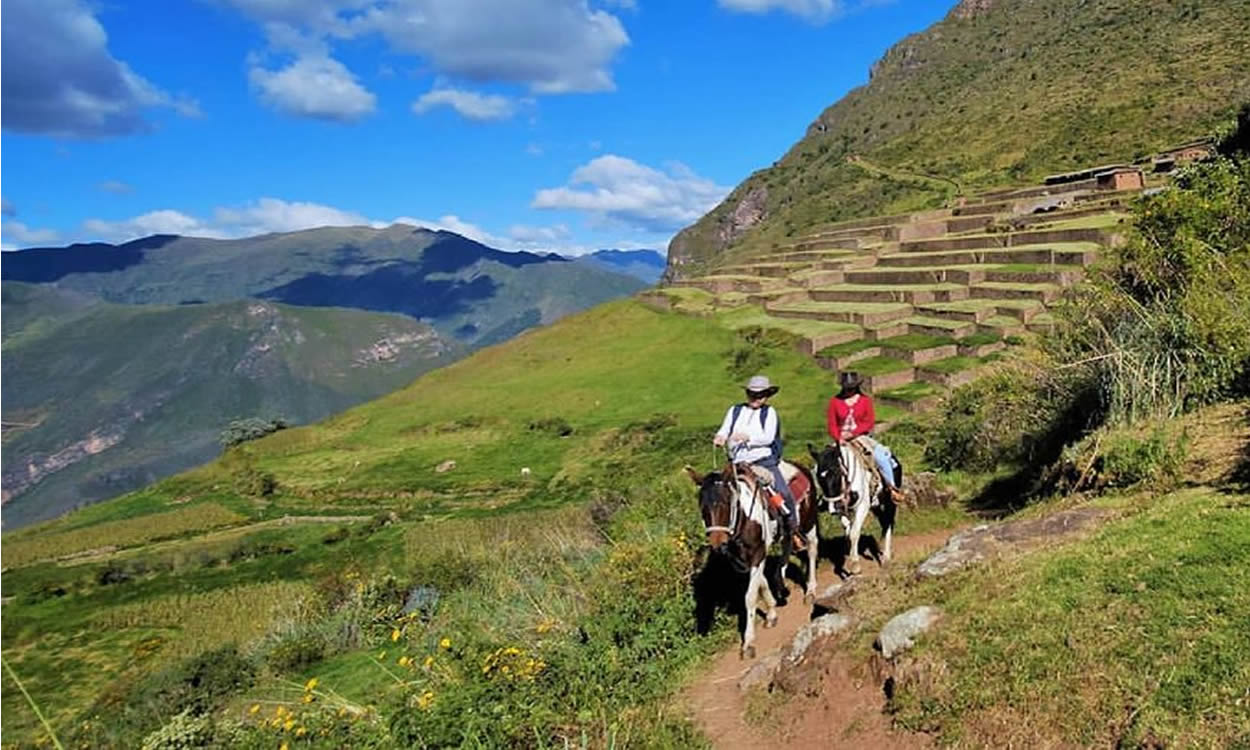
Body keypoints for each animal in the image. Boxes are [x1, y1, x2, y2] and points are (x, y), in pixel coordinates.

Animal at [690, 460, 825, 660]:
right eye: (702, 507)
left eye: (725, 502)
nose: (717, 543)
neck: (744, 518)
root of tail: (801, 466)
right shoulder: (748, 558)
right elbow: (761, 583)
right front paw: (772, 612)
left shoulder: (757, 553)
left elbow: (750, 596)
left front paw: (748, 643)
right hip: (786, 534)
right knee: (786, 550)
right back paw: (781, 583)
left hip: (808, 523)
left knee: (812, 550)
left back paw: (810, 591)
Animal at [810, 442, 900, 577]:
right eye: (818, 477)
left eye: (837, 472)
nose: (832, 508)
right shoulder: (842, 510)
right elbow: (848, 532)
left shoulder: (862, 506)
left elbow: (853, 533)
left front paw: (855, 566)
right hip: (876, 506)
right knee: (884, 523)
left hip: (890, 502)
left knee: (888, 523)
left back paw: (886, 558)